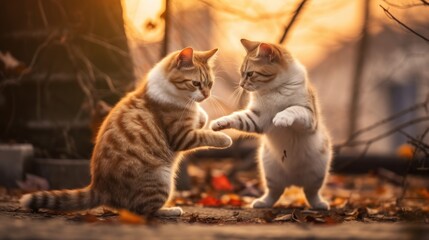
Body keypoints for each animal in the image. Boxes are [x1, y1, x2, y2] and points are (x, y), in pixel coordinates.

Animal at [19, 47, 231, 217]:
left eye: (210, 84)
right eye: (196, 83)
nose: (207, 95)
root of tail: (99, 186)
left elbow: (201, 117)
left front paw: (202, 116)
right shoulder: (181, 136)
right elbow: (205, 135)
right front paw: (225, 138)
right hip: (161, 180)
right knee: (143, 211)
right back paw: (170, 210)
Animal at [211, 39, 332, 210]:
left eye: (250, 74)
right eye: (241, 73)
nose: (241, 85)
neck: (274, 90)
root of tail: (294, 181)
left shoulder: (308, 115)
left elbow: (292, 109)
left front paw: (281, 117)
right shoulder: (257, 119)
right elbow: (237, 118)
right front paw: (219, 123)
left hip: (317, 175)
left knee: (311, 193)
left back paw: (319, 205)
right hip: (270, 173)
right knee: (274, 193)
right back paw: (262, 203)